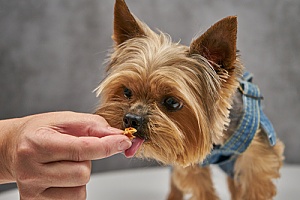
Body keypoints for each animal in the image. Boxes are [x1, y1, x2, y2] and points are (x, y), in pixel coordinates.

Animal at [95, 0, 284, 199]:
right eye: (126, 91)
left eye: (172, 102)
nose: (132, 119)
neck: (215, 142)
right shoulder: (188, 158)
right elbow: (202, 188)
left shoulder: (258, 159)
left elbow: (253, 186)